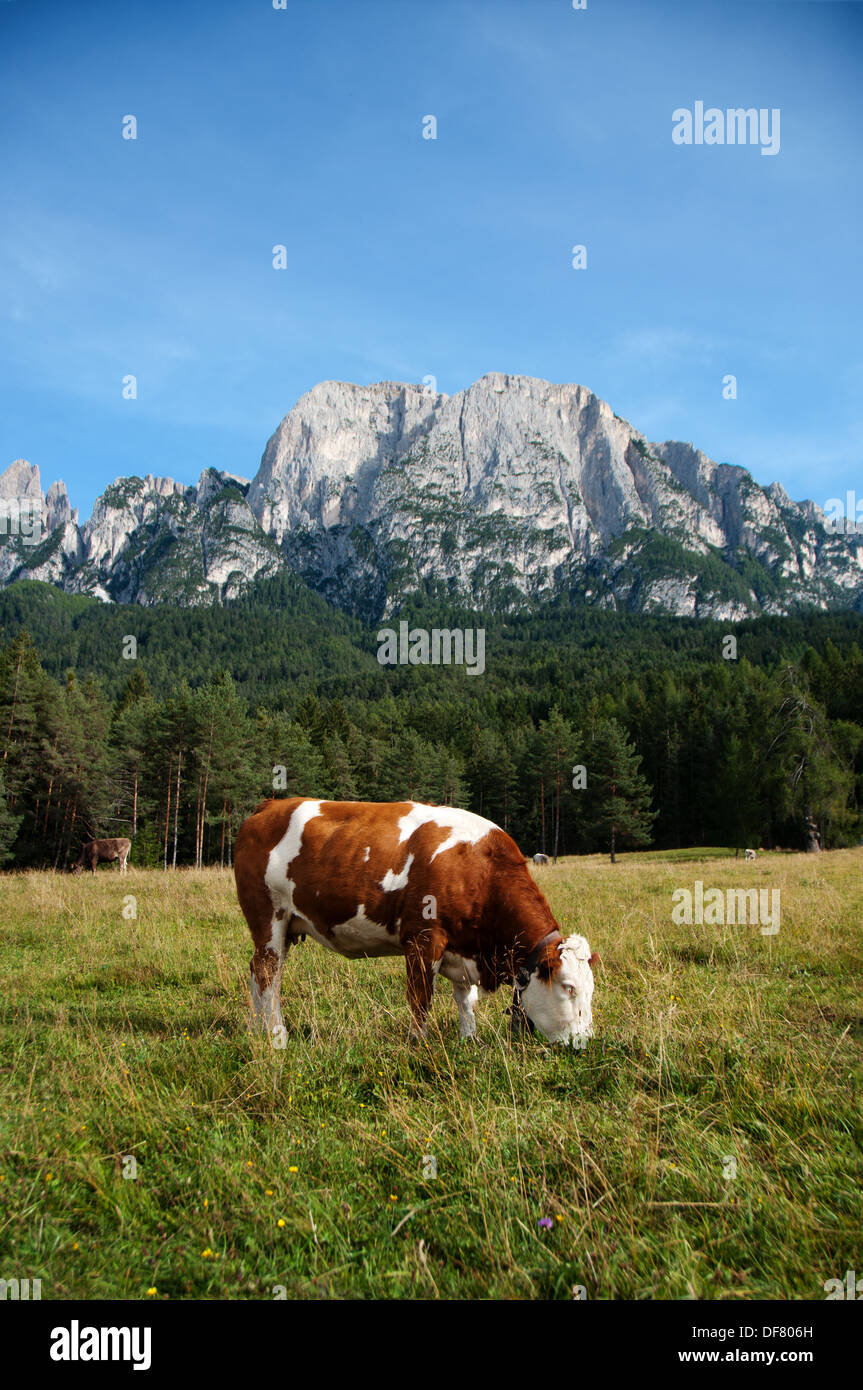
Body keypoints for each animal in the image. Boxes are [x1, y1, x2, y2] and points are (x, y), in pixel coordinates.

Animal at [234, 798, 598, 1047]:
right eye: (569, 987)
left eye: (591, 989)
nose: (584, 1043)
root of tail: (271, 805)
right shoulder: (423, 940)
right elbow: (420, 999)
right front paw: (418, 1045)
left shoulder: (461, 947)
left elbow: (465, 1000)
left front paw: (469, 1040)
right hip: (268, 918)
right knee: (268, 973)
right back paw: (277, 1037)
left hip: (284, 928)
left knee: (259, 971)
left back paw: (255, 1028)